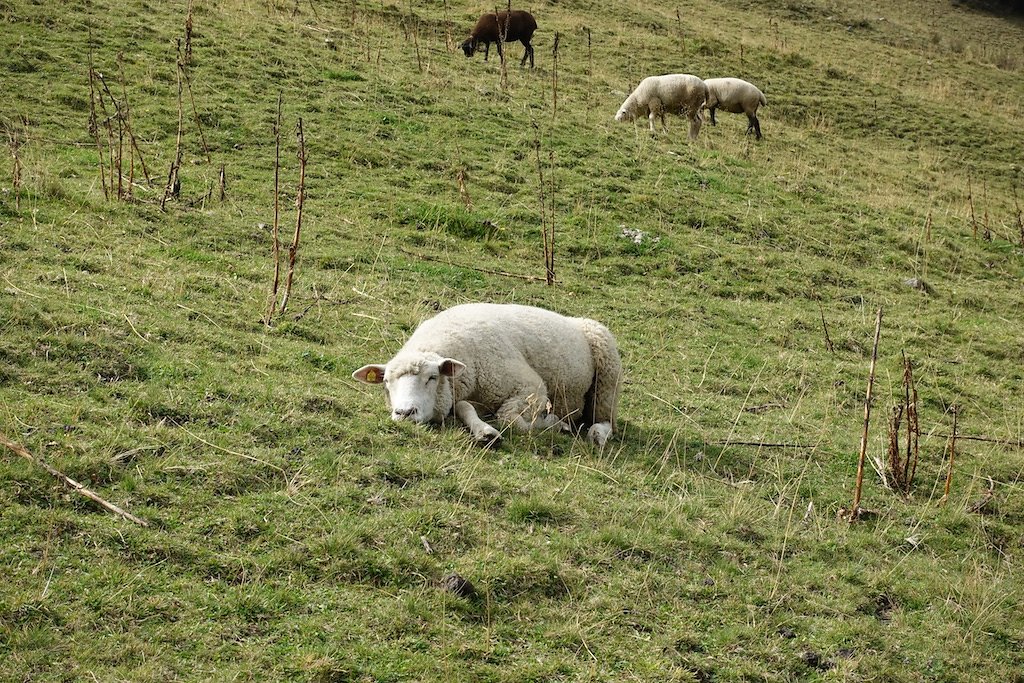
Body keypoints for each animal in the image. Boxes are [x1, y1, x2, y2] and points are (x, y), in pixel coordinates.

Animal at [352, 305, 622, 448]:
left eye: (432, 377)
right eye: (386, 383)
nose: (404, 413)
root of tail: (575, 321)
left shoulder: (531, 387)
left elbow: (510, 419)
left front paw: (553, 423)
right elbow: (464, 406)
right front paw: (485, 431)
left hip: (607, 378)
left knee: (606, 419)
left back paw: (597, 434)